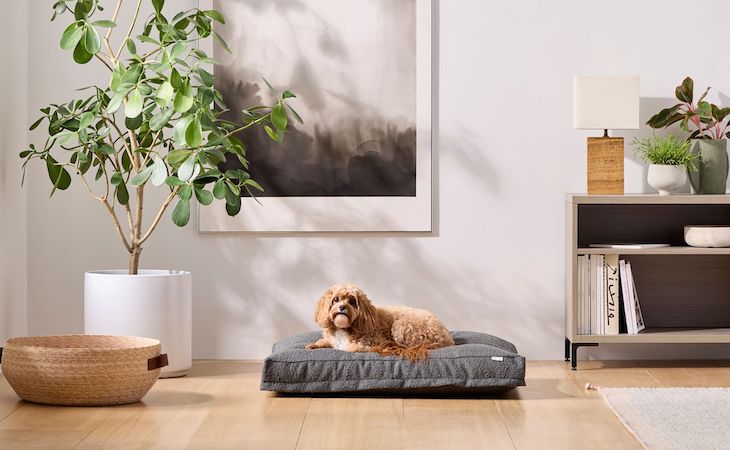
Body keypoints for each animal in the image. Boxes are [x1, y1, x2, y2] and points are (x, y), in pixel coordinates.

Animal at [304, 284, 452, 360]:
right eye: (336, 299)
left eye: (352, 301)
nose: (341, 307)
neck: (344, 327)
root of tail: (448, 338)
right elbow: (325, 342)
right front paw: (313, 345)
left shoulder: (373, 342)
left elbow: (350, 348)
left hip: (401, 326)